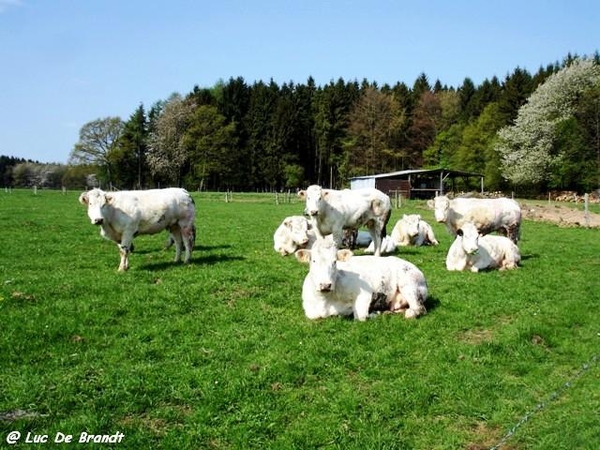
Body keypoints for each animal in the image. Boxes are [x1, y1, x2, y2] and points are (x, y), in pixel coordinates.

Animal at [294, 239, 426, 320]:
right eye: (313, 261)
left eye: (335, 262)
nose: (325, 285)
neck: (325, 302)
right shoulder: (310, 309)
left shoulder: (364, 294)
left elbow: (361, 316)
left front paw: (374, 313)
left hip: (409, 285)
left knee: (419, 308)